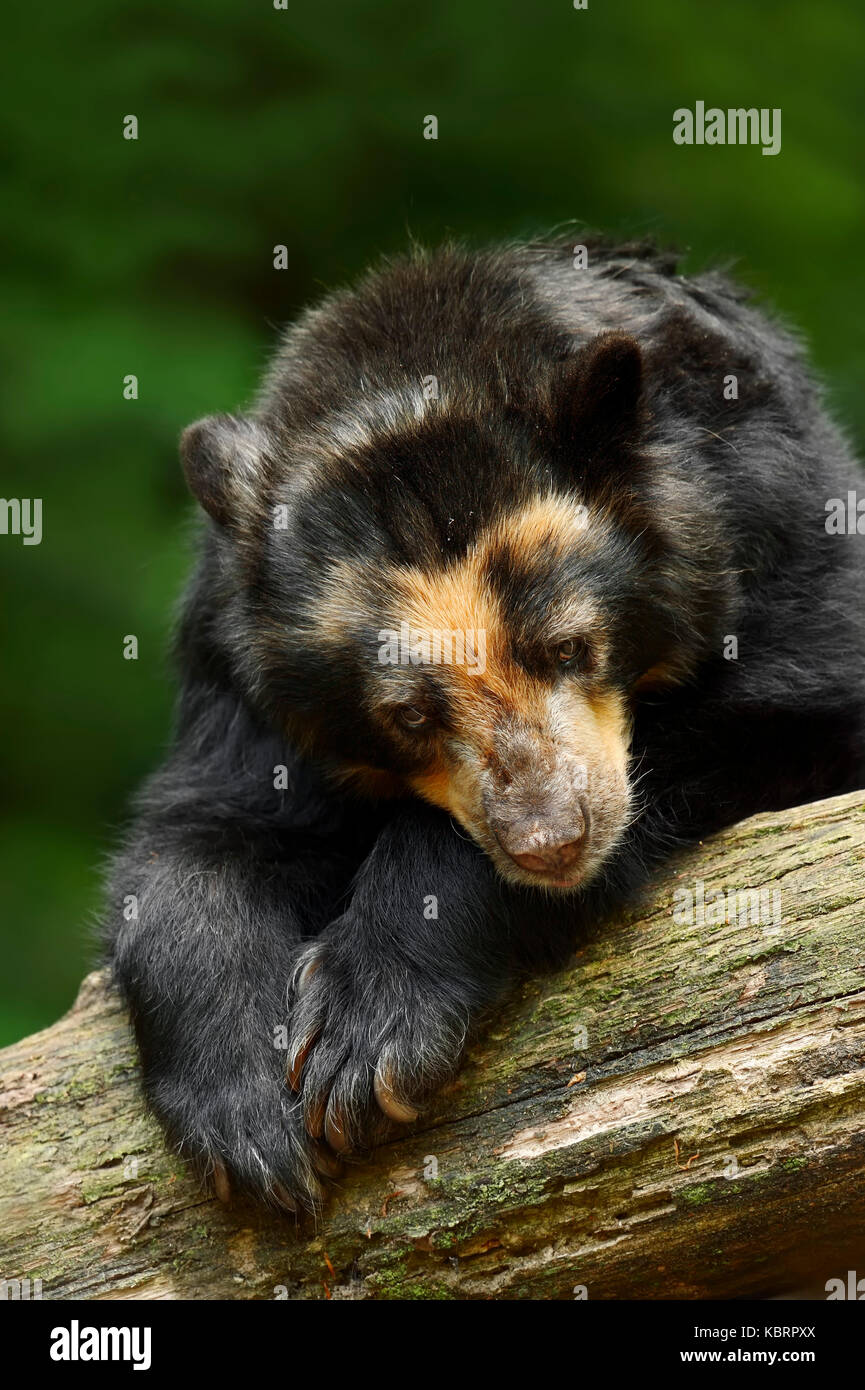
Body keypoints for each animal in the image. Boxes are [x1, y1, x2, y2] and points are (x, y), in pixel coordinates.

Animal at [104, 236, 865, 1206]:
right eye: (406, 716)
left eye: (568, 647)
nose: (551, 846)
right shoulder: (232, 682)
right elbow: (197, 839)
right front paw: (242, 1116)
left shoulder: (780, 535)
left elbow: (776, 705)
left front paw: (363, 1039)